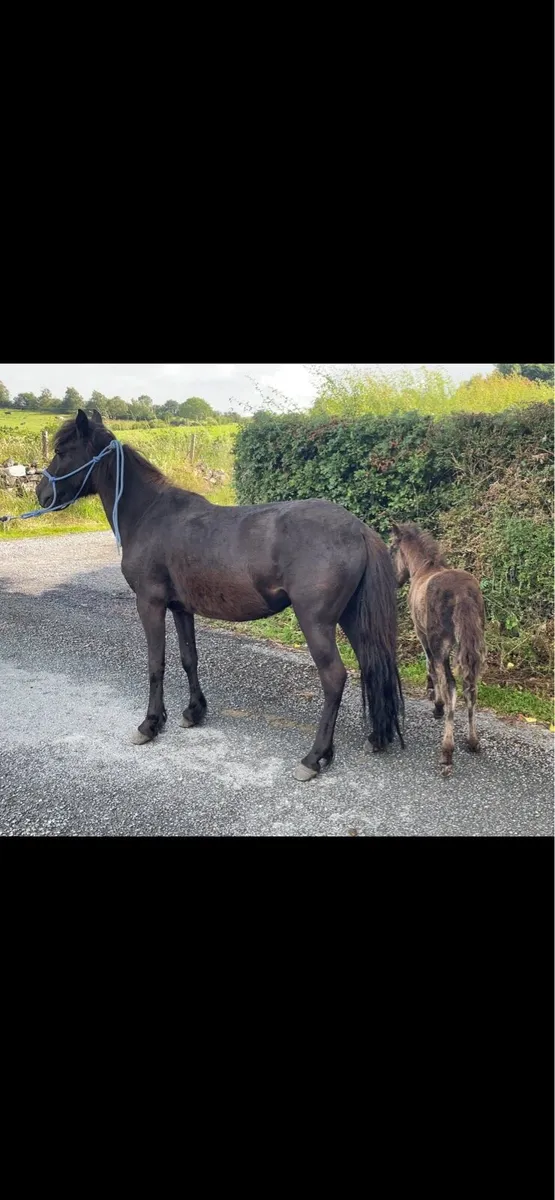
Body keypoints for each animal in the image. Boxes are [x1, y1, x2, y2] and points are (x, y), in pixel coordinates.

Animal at [37, 410, 404, 780]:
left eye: (63, 450)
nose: (41, 494)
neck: (149, 514)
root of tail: (358, 528)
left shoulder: (150, 604)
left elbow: (156, 663)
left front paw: (150, 724)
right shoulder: (180, 608)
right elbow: (189, 658)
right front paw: (193, 711)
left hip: (316, 623)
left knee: (334, 678)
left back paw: (314, 757)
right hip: (351, 618)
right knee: (372, 664)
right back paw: (377, 737)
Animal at [389, 522, 485, 768]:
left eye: (392, 549)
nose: (395, 580)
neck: (422, 569)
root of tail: (462, 593)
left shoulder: (422, 634)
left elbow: (430, 665)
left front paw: (437, 702)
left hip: (440, 642)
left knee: (451, 683)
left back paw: (447, 748)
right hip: (473, 643)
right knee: (471, 685)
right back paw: (472, 741)